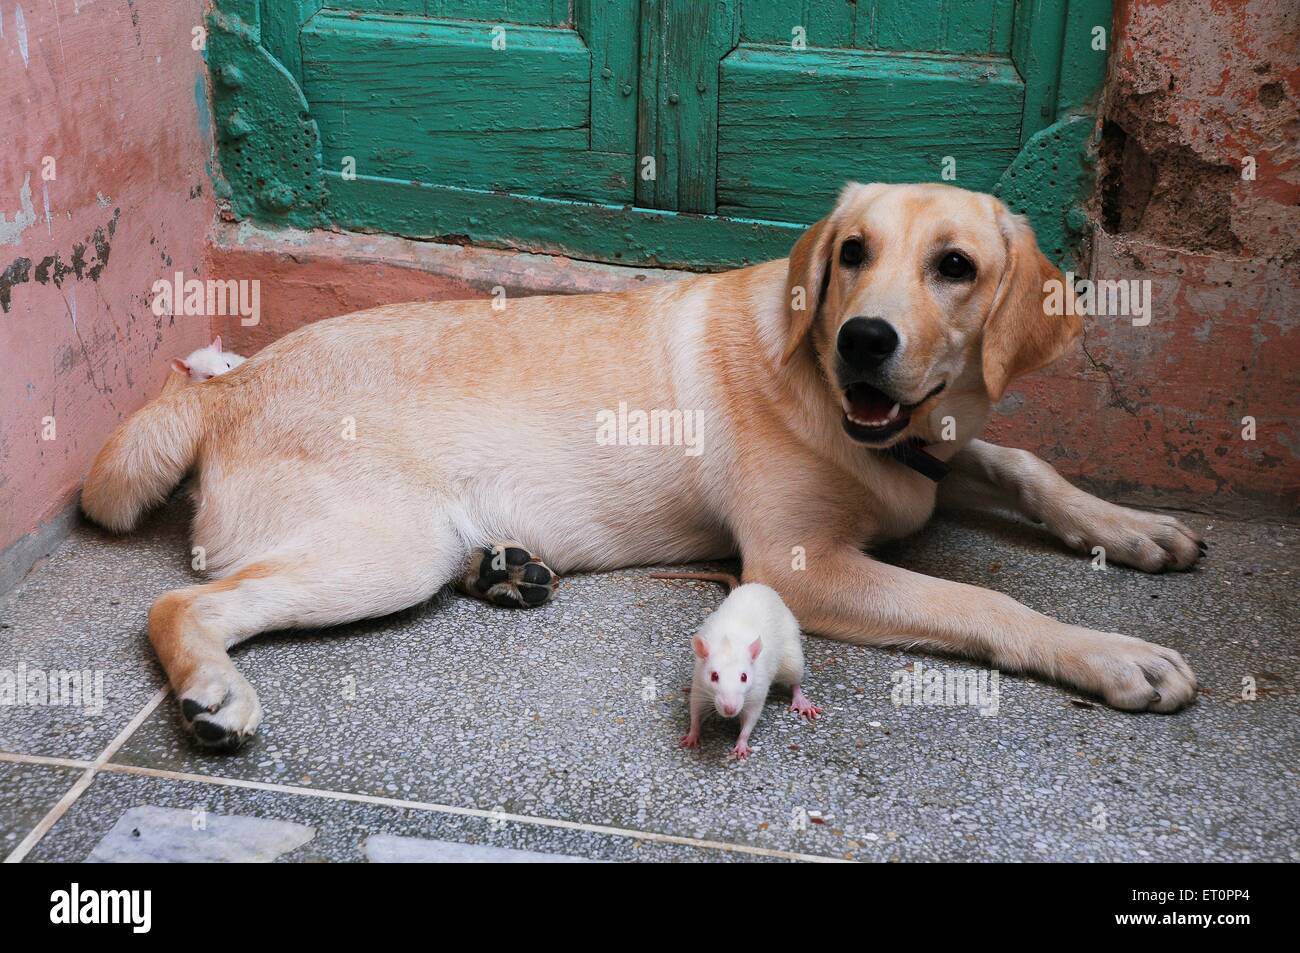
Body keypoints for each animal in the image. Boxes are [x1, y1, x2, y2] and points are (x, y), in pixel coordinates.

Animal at [81, 182, 1196, 748]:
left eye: (954, 266)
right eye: (853, 253)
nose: (862, 342)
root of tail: (225, 386)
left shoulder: (930, 448)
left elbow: (1020, 460)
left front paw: (1128, 525)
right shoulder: (799, 569)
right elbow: (982, 603)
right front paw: (1107, 651)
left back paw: (505, 568)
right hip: (384, 551)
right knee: (183, 605)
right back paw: (213, 692)